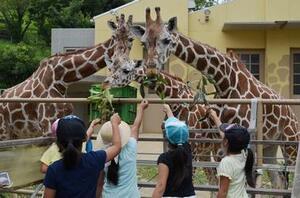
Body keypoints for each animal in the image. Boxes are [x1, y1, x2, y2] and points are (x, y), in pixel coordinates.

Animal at [0, 14, 135, 141]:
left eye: (131, 39)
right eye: (114, 37)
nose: (118, 60)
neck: (62, 79)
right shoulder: (47, 124)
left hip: (17, 133)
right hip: (4, 131)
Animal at [132, 6, 300, 188]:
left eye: (166, 40)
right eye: (143, 42)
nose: (151, 69)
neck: (225, 81)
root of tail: (292, 114)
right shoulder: (216, 144)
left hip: (290, 144)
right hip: (269, 145)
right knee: (277, 179)